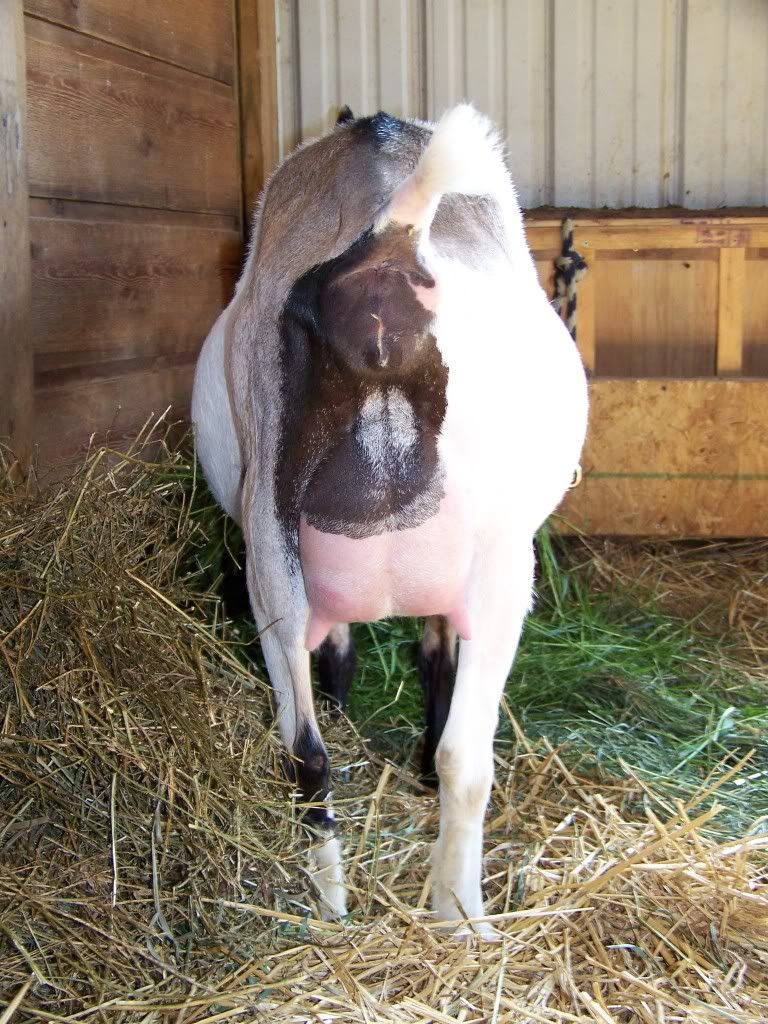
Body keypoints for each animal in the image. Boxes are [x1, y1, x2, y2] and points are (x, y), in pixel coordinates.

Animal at [192, 105, 588, 938]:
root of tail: (385, 247)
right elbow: (434, 657)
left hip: (270, 545)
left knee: (305, 751)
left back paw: (332, 908)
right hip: (504, 563)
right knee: (466, 755)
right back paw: (460, 914)